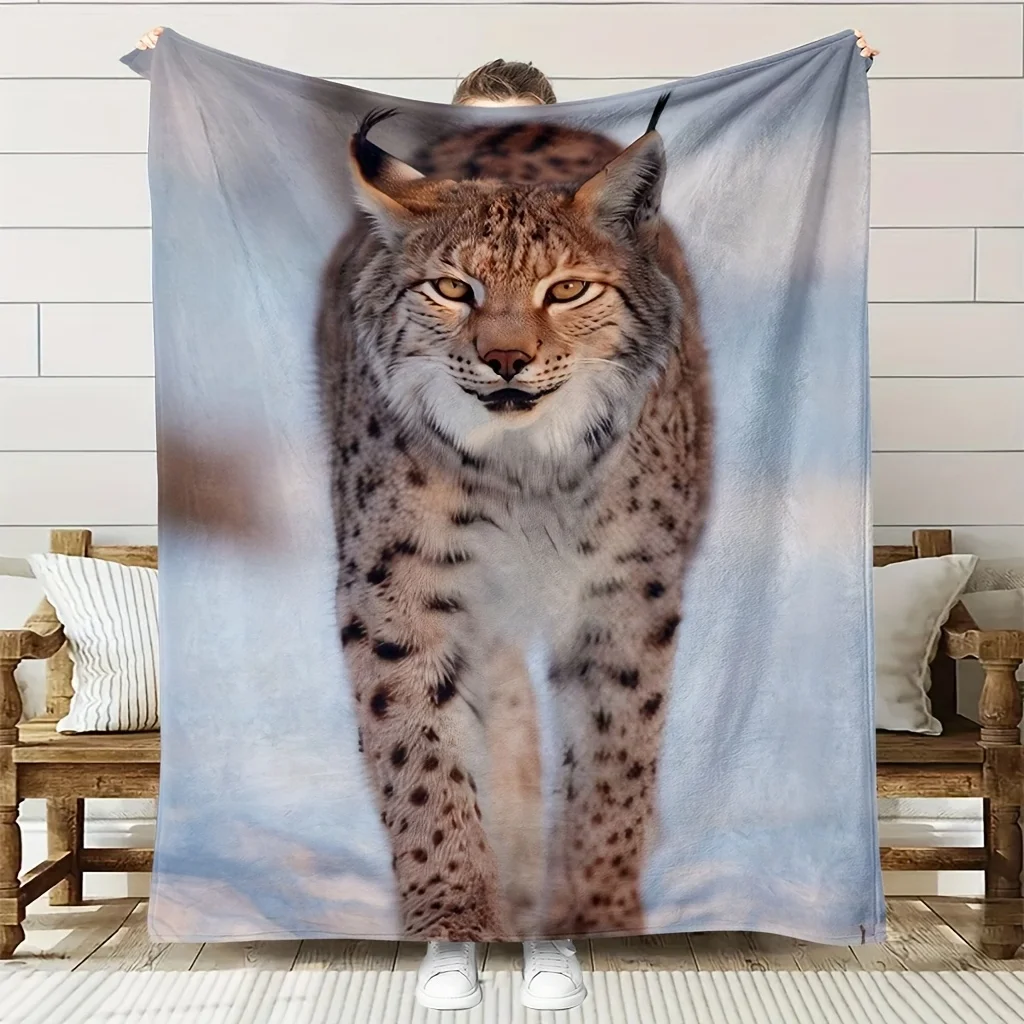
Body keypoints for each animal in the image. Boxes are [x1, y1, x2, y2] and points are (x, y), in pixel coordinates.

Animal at [315, 104, 712, 941]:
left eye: (566, 290)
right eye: (451, 288)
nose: (505, 360)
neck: (528, 468)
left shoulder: (628, 589)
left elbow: (617, 752)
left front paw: (601, 914)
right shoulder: (396, 583)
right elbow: (417, 750)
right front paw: (454, 916)